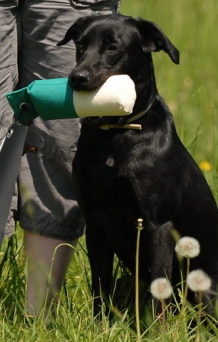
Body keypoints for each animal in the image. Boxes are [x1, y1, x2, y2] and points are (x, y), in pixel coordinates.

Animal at [57, 14, 218, 316]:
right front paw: (100, 322)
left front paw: (154, 327)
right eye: (80, 45)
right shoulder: (95, 222)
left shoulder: (157, 225)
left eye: (113, 47)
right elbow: (100, 284)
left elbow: (159, 290)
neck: (114, 135)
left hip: (206, 291)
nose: (77, 78)